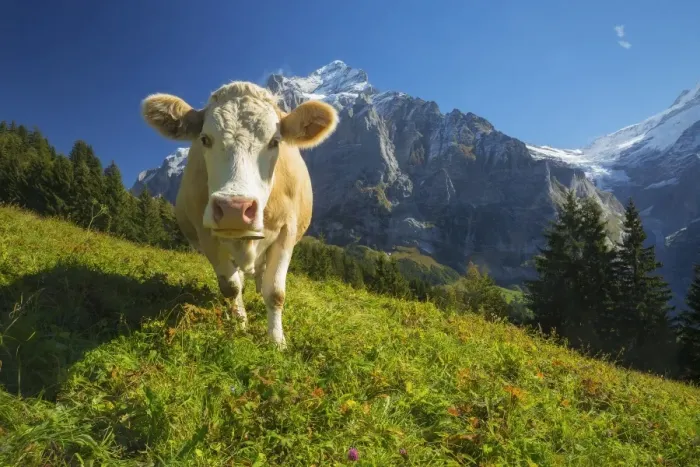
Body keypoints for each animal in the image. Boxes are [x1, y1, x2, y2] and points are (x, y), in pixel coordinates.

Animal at [140, 81, 339, 349]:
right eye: (205, 139)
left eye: (275, 141)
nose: (234, 209)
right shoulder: (207, 234)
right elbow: (231, 287)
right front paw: (239, 326)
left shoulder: (287, 232)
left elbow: (275, 293)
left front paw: (277, 341)